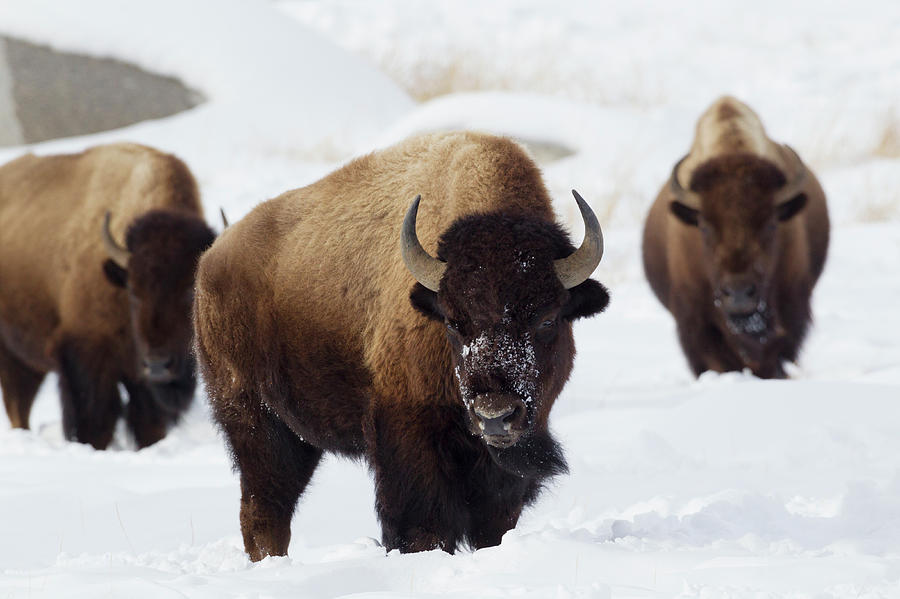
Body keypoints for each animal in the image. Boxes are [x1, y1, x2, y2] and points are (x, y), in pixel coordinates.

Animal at [0, 143, 216, 448]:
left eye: (189, 292)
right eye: (134, 292)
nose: (158, 366)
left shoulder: (140, 381)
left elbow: (148, 424)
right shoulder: (87, 357)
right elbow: (96, 422)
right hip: (12, 359)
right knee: (18, 407)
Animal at [192, 132, 608, 564]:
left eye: (547, 320)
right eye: (453, 322)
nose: (495, 416)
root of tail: (211, 260)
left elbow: (493, 523)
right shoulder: (408, 434)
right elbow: (422, 526)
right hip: (257, 421)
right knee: (265, 507)